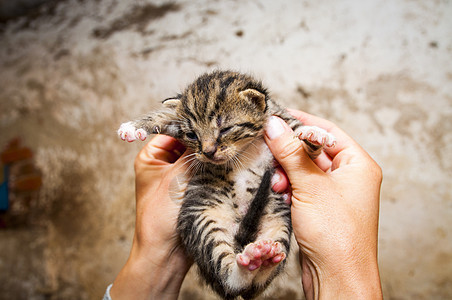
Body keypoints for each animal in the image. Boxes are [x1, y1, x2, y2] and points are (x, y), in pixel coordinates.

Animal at [116, 71, 336, 298]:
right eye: (192, 135)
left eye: (225, 129)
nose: (208, 152)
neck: (245, 147)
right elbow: (163, 116)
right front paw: (133, 127)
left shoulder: (277, 115)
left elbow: (302, 136)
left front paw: (315, 134)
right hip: (204, 221)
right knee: (231, 278)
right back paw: (251, 262)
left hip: (279, 225)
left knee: (256, 283)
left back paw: (263, 260)